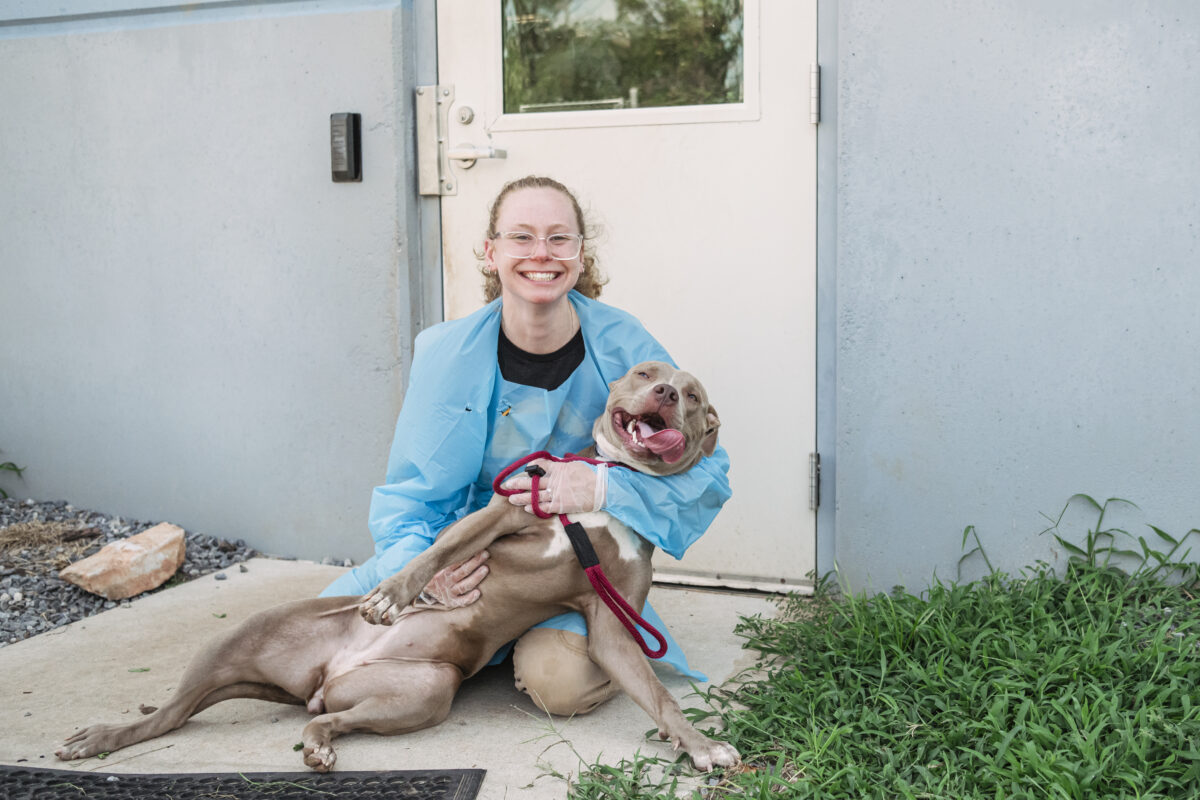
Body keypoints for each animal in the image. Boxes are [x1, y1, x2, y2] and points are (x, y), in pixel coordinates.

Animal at [58, 362, 739, 777]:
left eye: (693, 395)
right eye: (646, 372)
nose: (666, 394)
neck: (610, 481)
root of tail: (323, 676)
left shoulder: (613, 627)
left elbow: (658, 697)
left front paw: (697, 745)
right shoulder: (500, 513)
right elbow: (436, 553)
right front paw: (395, 596)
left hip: (423, 691)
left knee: (328, 717)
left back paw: (319, 744)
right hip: (234, 640)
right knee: (169, 715)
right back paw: (104, 737)